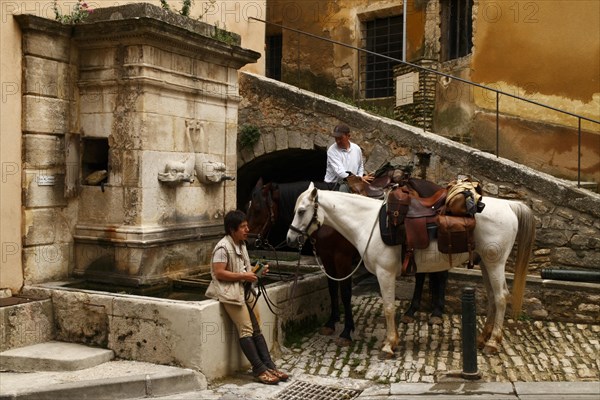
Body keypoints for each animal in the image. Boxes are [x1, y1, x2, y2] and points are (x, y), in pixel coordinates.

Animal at [286, 183, 536, 354]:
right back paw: (483, 338)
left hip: (495, 263)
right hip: (485, 262)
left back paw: (493, 342)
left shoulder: (384, 273)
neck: (368, 222)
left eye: (301, 211)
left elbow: (388, 307)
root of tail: (509, 205)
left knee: (501, 298)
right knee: (493, 297)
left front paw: (389, 344)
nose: (289, 238)